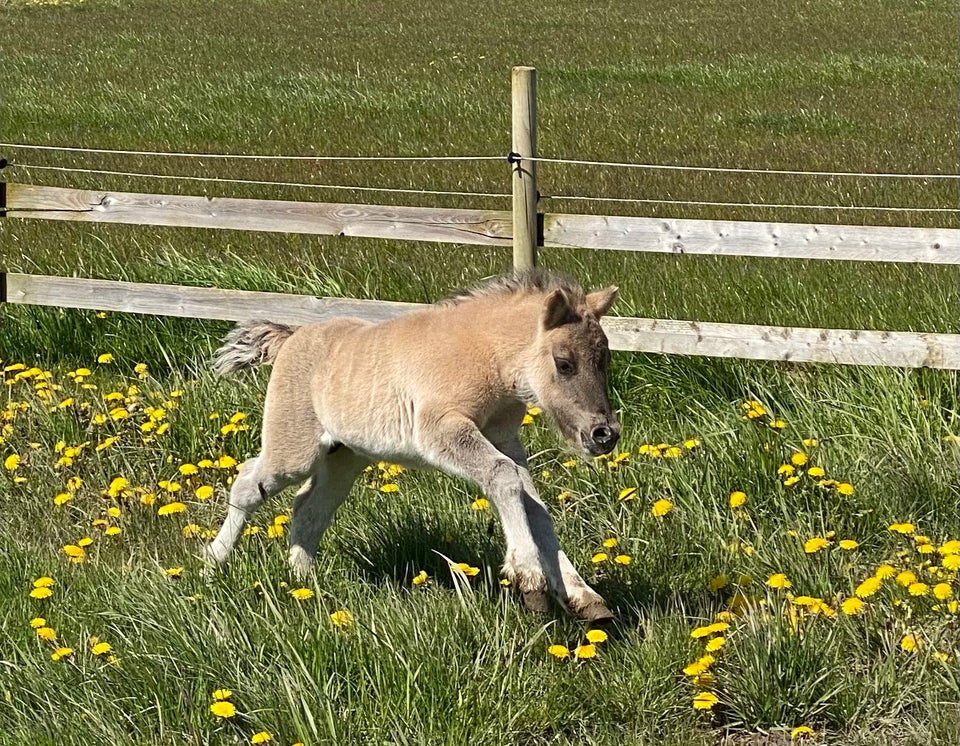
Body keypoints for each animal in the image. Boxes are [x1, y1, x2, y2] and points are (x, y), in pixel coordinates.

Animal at [206, 270, 620, 620]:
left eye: (604, 359)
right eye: (564, 363)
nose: (604, 435)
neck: (484, 354)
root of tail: (292, 336)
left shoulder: (504, 439)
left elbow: (532, 501)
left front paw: (584, 597)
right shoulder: (440, 430)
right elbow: (504, 478)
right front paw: (529, 580)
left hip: (346, 456)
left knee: (310, 507)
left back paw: (302, 579)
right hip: (295, 450)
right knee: (249, 483)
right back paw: (213, 562)